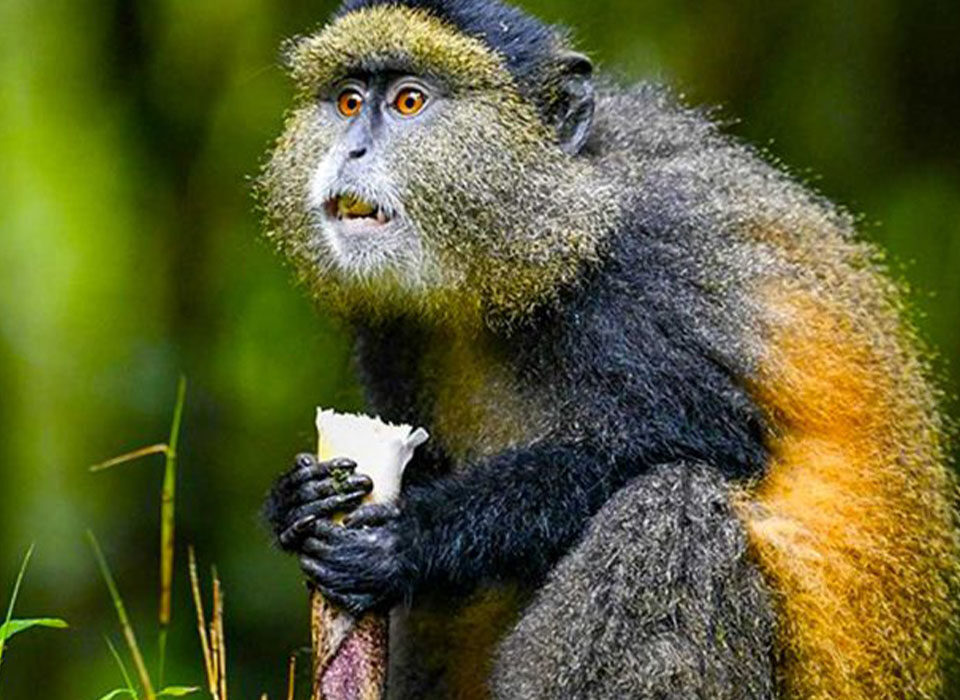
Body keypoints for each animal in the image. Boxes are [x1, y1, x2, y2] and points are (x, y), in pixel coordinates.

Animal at [258, 1, 960, 698]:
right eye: (349, 101)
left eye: (409, 101)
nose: (352, 147)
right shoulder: (391, 331)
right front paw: (296, 501)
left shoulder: (641, 270)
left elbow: (712, 442)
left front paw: (408, 540)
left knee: (673, 505)